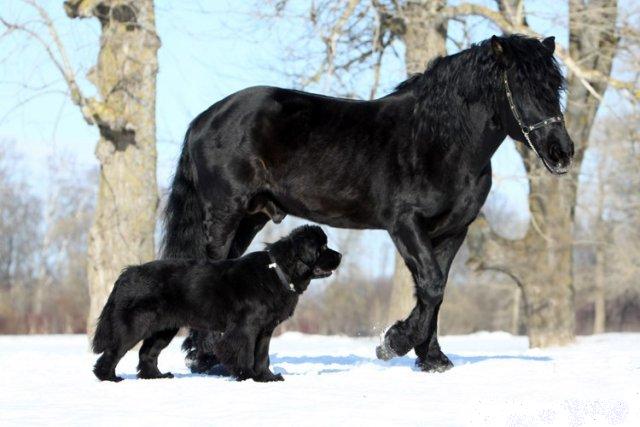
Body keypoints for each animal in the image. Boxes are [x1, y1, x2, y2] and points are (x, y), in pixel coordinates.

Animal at [92, 225, 341, 382]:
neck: (277, 271)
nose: (339, 256)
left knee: (147, 353)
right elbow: (245, 353)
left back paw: (156, 376)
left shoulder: (265, 330)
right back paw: (109, 377)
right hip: (134, 326)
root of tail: (127, 273)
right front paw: (248, 376)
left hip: (164, 329)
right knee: (113, 351)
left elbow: (262, 355)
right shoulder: (245, 327)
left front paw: (267, 378)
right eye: (322, 248)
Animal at [162, 34, 574, 373]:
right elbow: (430, 285)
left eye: (556, 86)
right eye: (520, 85)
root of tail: (204, 120)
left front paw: (433, 359)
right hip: (225, 214)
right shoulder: (404, 225)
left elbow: (437, 290)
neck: (438, 141)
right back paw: (207, 357)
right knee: (212, 267)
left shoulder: (453, 231)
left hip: (251, 217)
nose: (562, 151)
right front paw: (394, 343)